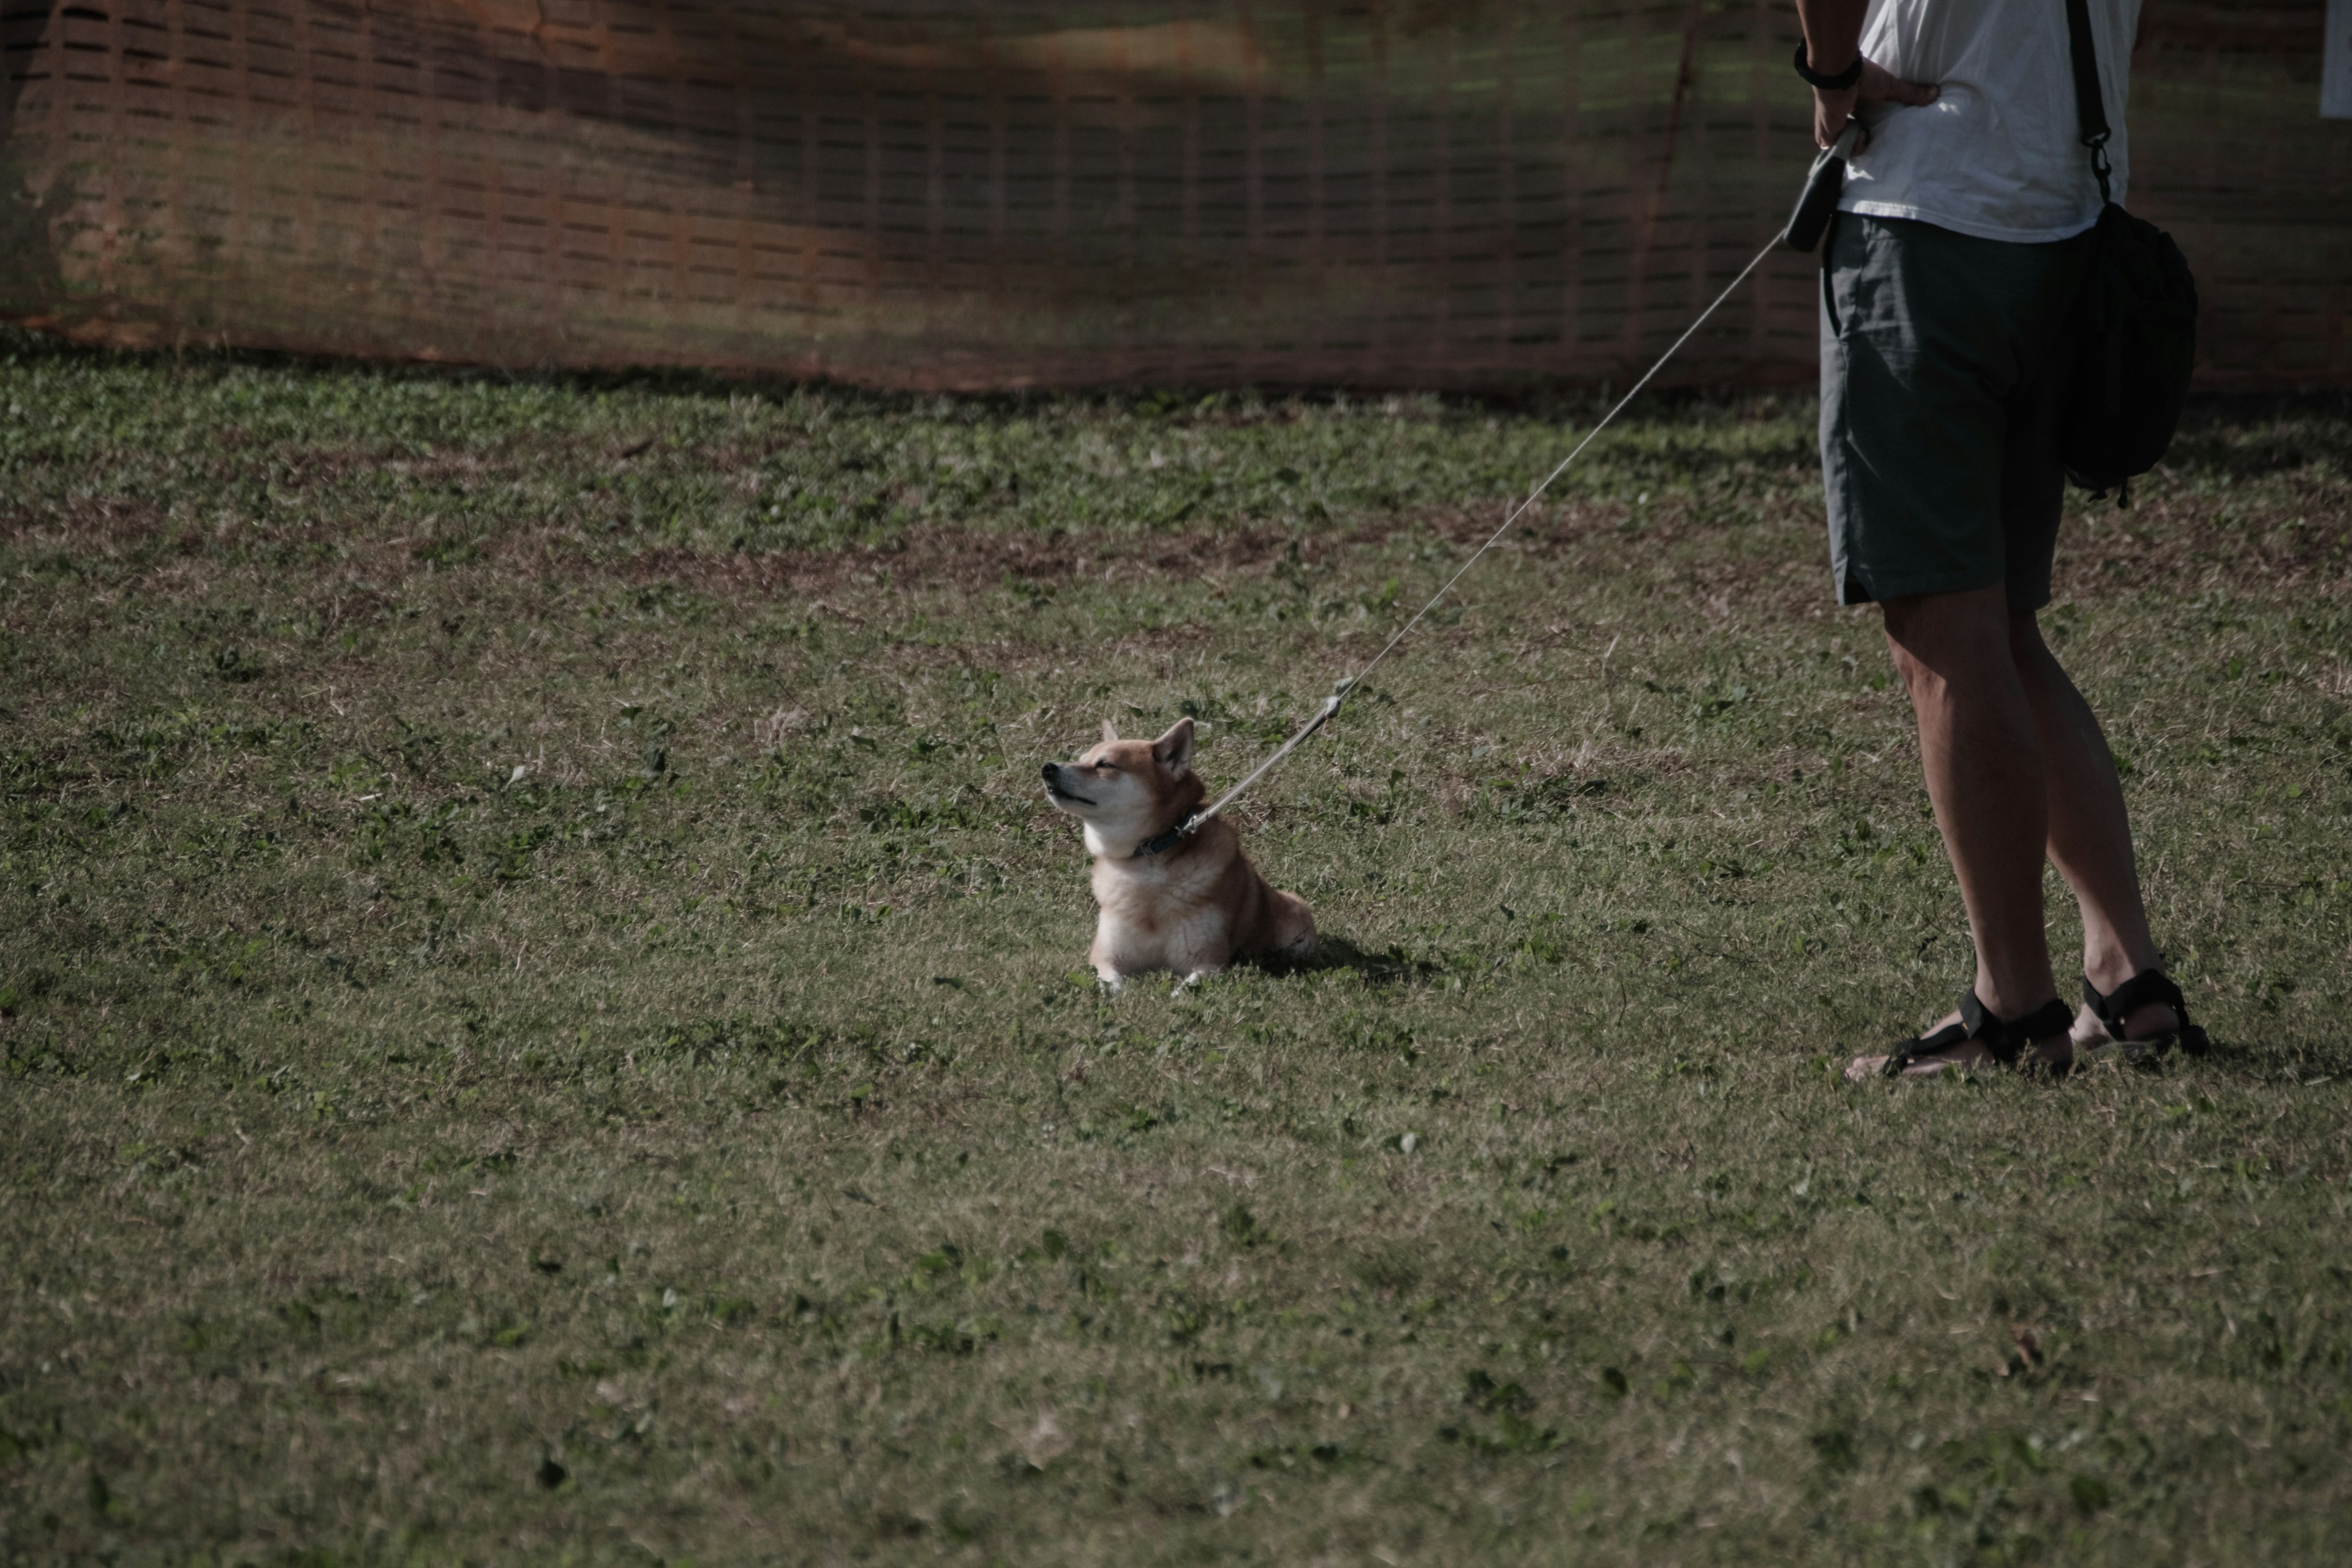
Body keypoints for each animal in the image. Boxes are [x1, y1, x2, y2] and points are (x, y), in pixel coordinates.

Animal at [1039, 719, 1317, 987]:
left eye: (1105, 764)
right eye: (1081, 759)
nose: (1048, 768)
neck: (1148, 861)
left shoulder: (1207, 961)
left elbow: (1187, 988)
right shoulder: (1106, 957)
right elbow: (1111, 984)